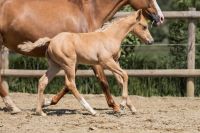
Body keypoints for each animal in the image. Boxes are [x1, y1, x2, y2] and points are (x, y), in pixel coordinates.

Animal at [18, 9, 153, 115]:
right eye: (144, 26)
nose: (151, 41)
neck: (110, 36)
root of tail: (51, 40)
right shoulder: (106, 62)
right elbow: (125, 75)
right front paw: (123, 104)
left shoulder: (115, 61)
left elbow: (121, 79)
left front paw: (130, 108)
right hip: (69, 64)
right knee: (70, 84)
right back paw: (91, 110)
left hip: (55, 66)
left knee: (42, 81)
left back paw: (40, 112)